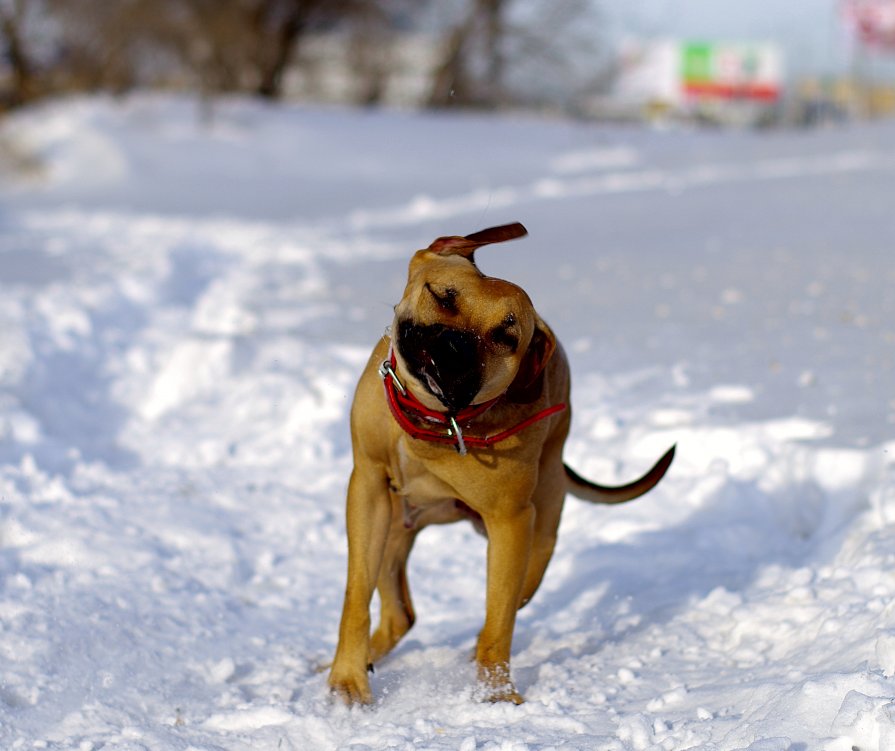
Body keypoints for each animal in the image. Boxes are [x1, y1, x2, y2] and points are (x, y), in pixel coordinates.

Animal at [332, 223, 676, 704]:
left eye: (505, 336)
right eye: (444, 296)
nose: (454, 345)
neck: (433, 424)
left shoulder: (510, 521)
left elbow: (499, 622)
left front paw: (496, 697)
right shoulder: (367, 491)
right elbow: (356, 597)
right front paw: (346, 681)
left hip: (540, 525)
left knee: (509, 601)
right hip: (394, 528)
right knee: (400, 613)